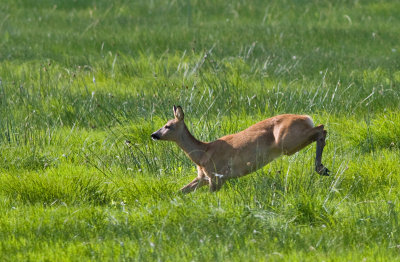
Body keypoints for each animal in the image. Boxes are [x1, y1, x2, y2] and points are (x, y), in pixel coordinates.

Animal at [152, 105, 330, 193]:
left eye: (168, 126)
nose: (154, 134)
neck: (202, 154)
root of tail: (306, 118)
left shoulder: (217, 176)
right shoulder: (203, 177)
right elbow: (180, 191)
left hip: (287, 141)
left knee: (321, 129)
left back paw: (321, 168)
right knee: (321, 130)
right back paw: (322, 168)